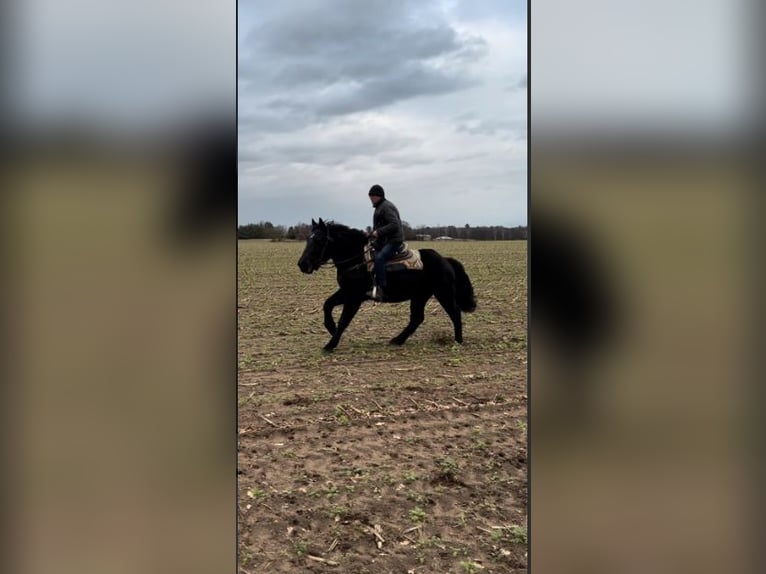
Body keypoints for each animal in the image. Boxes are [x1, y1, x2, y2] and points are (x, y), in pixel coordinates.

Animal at [298, 219, 474, 352]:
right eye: (308, 239)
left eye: (319, 240)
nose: (302, 264)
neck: (357, 259)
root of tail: (446, 260)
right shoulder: (346, 292)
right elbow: (327, 305)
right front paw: (331, 329)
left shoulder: (354, 298)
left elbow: (344, 320)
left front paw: (330, 344)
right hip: (420, 296)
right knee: (417, 318)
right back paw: (398, 340)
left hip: (443, 293)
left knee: (455, 312)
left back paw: (458, 340)